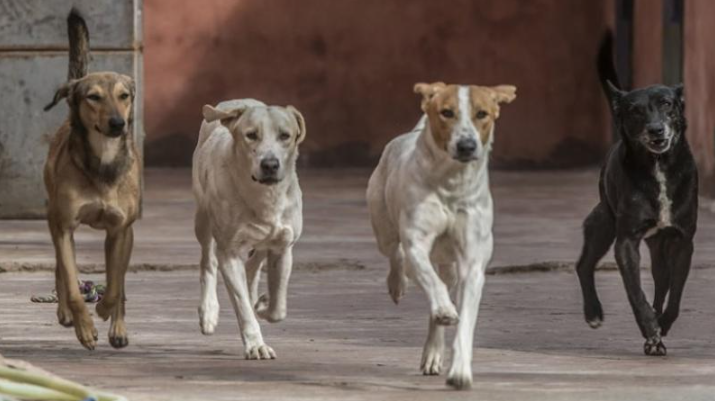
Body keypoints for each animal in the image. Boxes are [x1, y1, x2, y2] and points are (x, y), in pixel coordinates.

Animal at [43, 7, 140, 348]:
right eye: (93, 97)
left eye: (124, 96)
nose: (118, 123)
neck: (103, 161)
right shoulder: (64, 226)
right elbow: (72, 283)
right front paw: (84, 327)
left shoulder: (120, 231)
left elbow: (115, 284)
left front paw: (106, 312)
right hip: (54, 220)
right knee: (60, 269)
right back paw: (66, 314)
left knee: (119, 281)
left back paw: (118, 327)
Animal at [192, 98, 306, 358]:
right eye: (251, 135)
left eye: (285, 135)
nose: (270, 164)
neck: (264, 197)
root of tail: (235, 102)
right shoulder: (229, 253)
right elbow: (242, 305)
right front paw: (256, 345)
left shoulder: (283, 247)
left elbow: (278, 308)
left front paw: (263, 305)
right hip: (203, 218)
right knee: (208, 261)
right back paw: (209, 311)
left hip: (263, 242)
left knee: (254, 265)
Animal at [370, 82, 516, 388]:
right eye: (446, 112)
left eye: (482, 113)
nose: (467, 145)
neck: (451, 183)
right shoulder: (416, 243)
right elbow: (430, 280)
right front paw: (446, 310)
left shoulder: (472, 263)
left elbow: (465, 321)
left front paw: (459, 371)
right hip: (382, 225)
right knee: (396, 256)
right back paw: (399, 284)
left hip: (450, 264)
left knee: (442, 285)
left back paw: (433, 352)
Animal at [576, 32, 700, 354]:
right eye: (635, 111)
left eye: (667, 104)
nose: (656, 130)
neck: (658, 166)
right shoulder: (626, 242)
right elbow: (635, 293)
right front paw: (650, 327)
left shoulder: (682, 242)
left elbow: (675, 296)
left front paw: (661, 326)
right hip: (603, 223)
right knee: (584, 265)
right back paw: (593, 312)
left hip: (658, 248)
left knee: (661, 282)